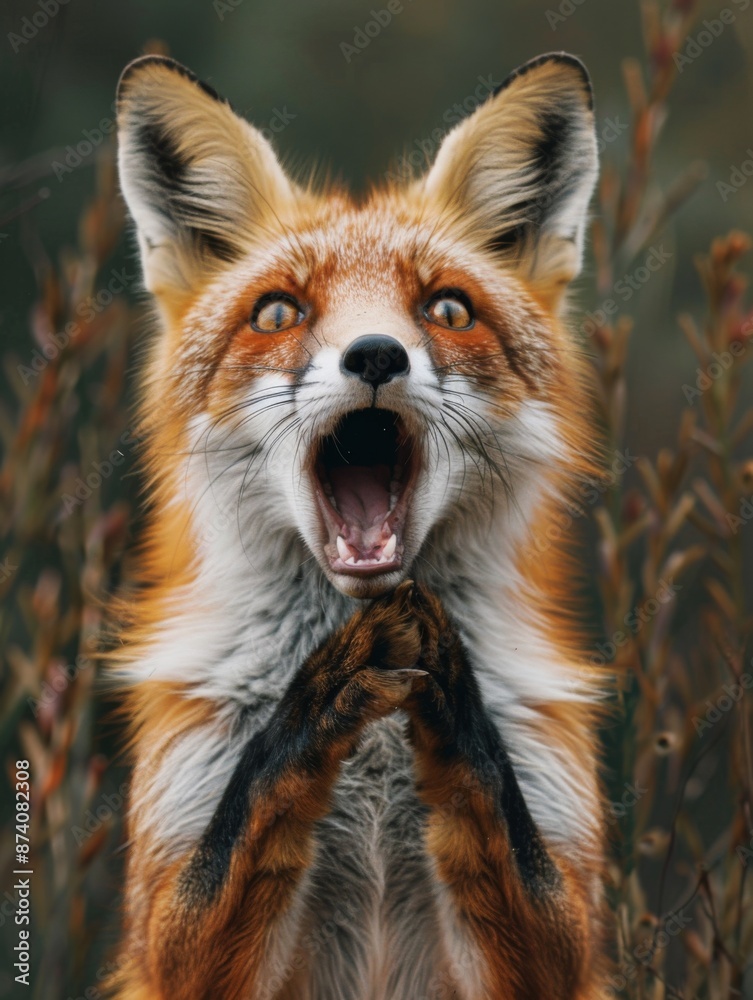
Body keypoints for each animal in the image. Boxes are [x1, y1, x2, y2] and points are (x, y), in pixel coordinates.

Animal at [108, 50, 610, 1000]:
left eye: (447, 310)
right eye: (278, 312)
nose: (375, 354)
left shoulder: (564, 927)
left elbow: (501, 814)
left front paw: (454, 696)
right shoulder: (170, 930)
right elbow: (246, 807)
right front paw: (312, 703)